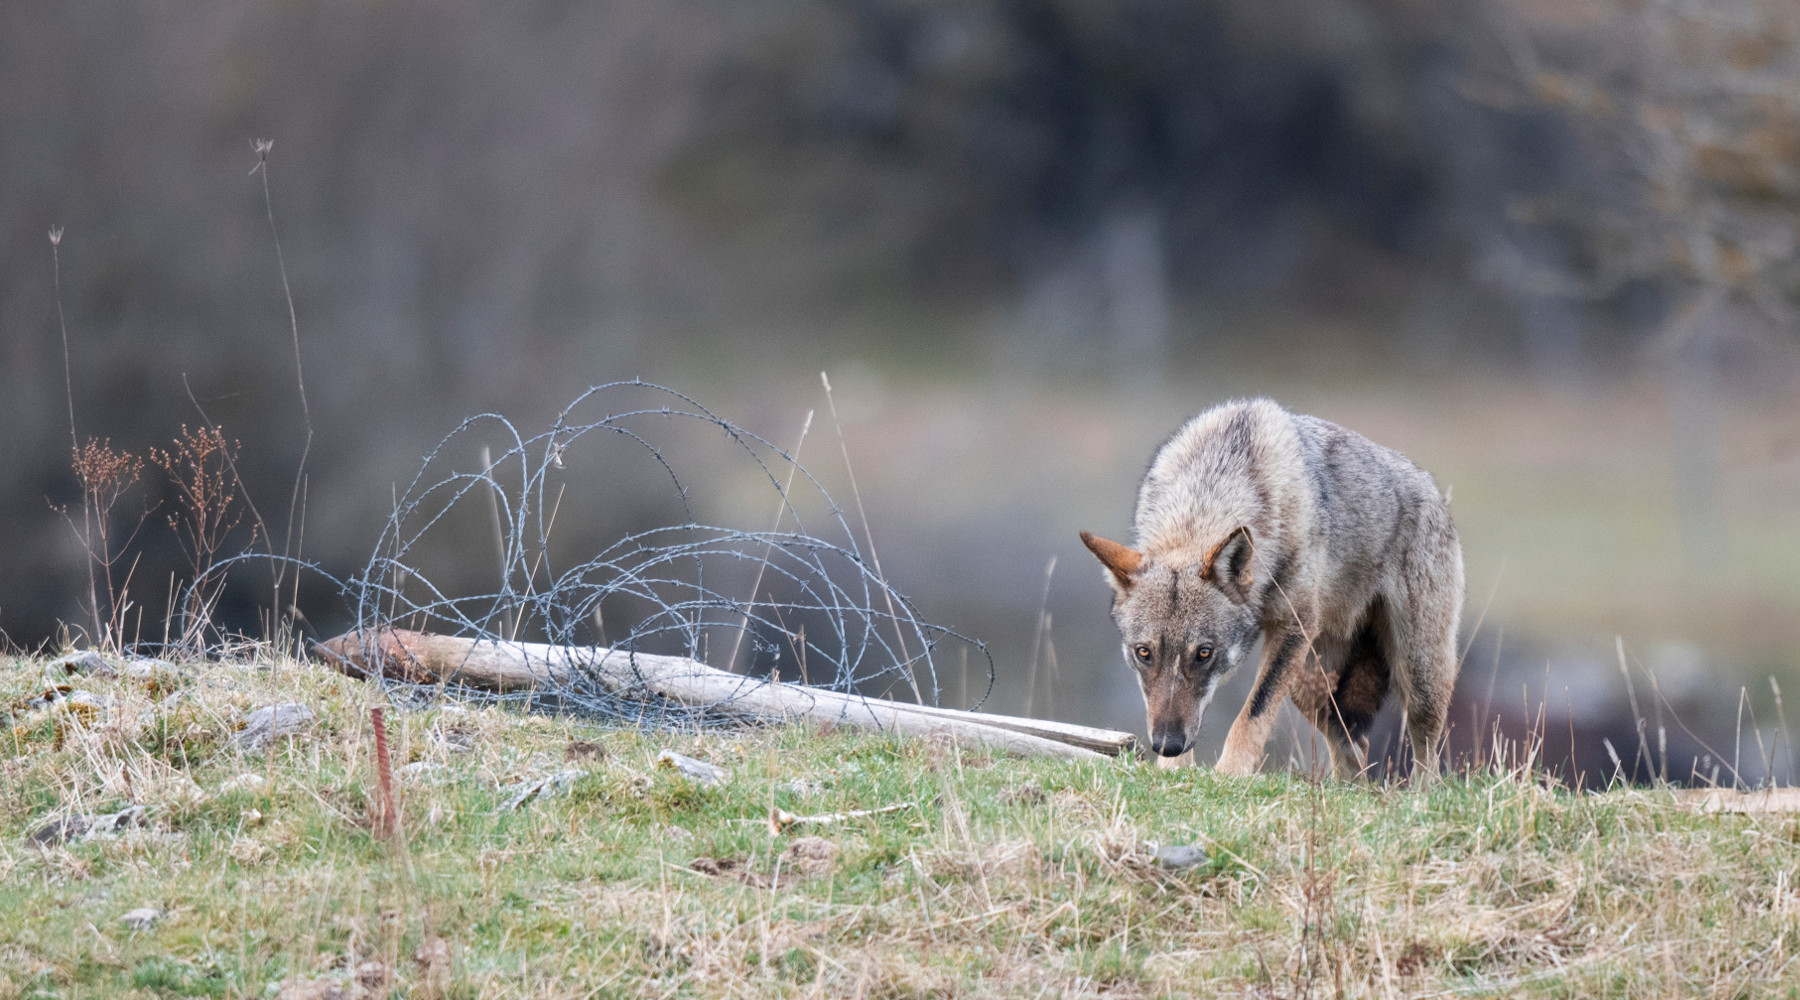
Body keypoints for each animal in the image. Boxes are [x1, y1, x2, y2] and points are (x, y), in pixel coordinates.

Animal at [1080, 398, 1463, 782]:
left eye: (1204, 653)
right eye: (1144, 653)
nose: (1167, 745)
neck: (1211, 490)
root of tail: (1436, 493)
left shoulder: (1293, 624)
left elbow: (1253, 712)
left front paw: (1230, 775)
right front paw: (1174, 773)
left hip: (1417, 677)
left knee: (1428, 757)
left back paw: (1418, 793)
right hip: (1310, 687)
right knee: (1356, 749)